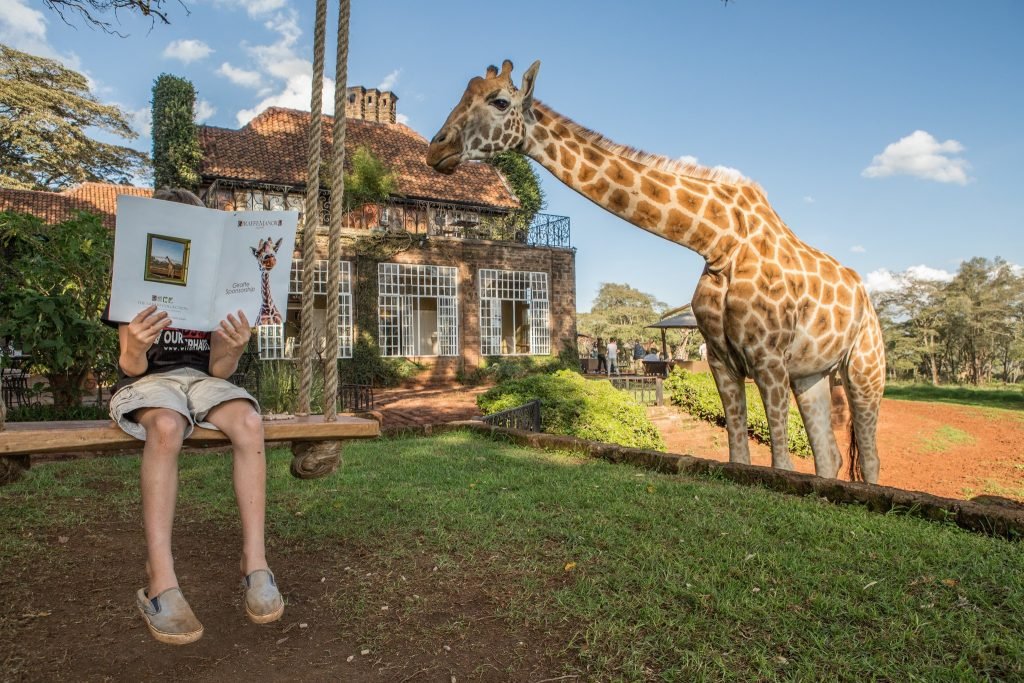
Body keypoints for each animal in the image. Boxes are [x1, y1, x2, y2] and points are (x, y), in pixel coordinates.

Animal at [427, 60, 886, 483]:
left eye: (500, 102)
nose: (436, 148)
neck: (718, 241)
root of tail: (865, 296)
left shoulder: (768, 359)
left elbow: (781, 465)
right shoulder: (722, 360)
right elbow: (739, 458)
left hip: (864, 367)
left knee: (869, 457)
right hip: (811, 374)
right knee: (830, 456)